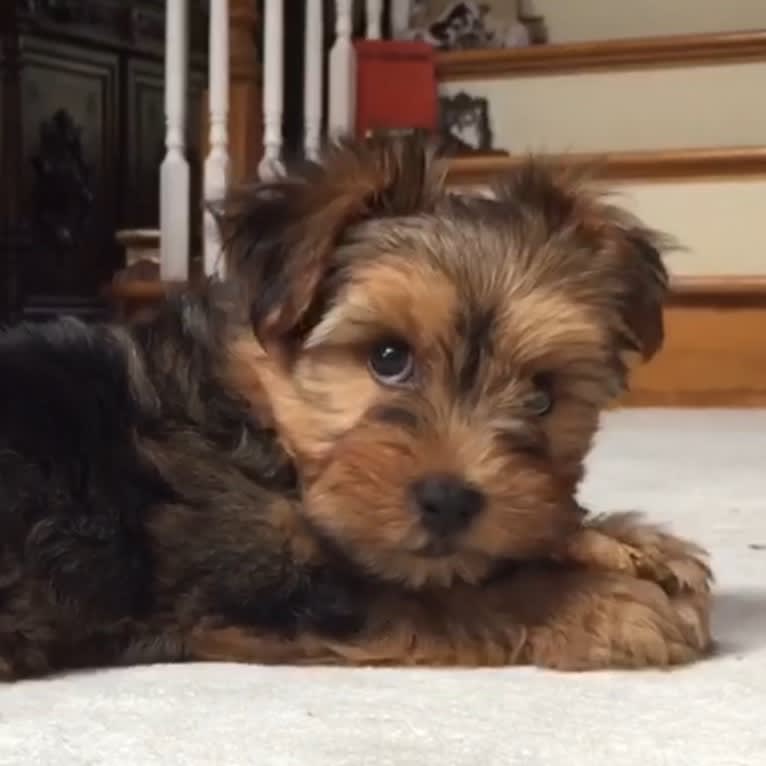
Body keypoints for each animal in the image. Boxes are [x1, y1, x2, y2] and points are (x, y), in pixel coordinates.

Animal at [0, 135, 712, 680]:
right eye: (388, 357)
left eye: (542, 395)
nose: (451, 501)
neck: (259, 420)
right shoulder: (256, 583)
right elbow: (438, 592)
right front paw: (603, 602)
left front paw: (629, 542)